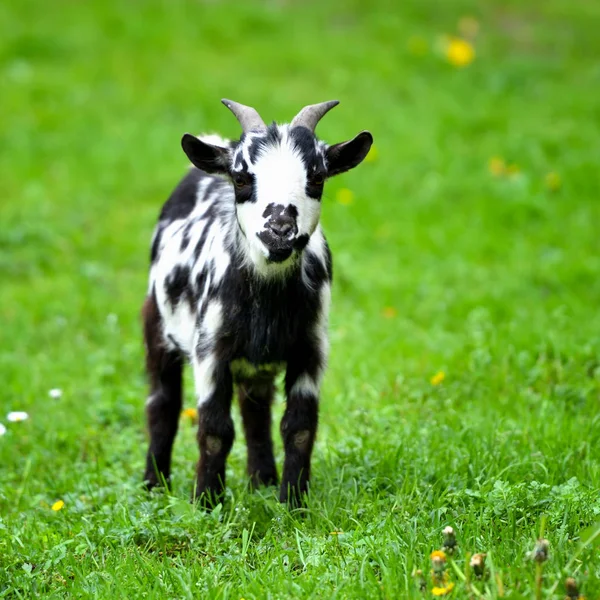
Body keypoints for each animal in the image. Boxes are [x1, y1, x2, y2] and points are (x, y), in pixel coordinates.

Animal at [143, 99, 372, 506]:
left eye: (317, 177)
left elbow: (299, 427)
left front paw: (293, 503)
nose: (279, 231)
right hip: (158, 324)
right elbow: (214, 429)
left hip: (256, 364)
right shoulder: (210, 349)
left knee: (255, 409)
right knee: (162, 402)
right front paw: (207, 503)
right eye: (241, 178)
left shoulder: (310, 349)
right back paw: (154, 485)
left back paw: (262, 480)